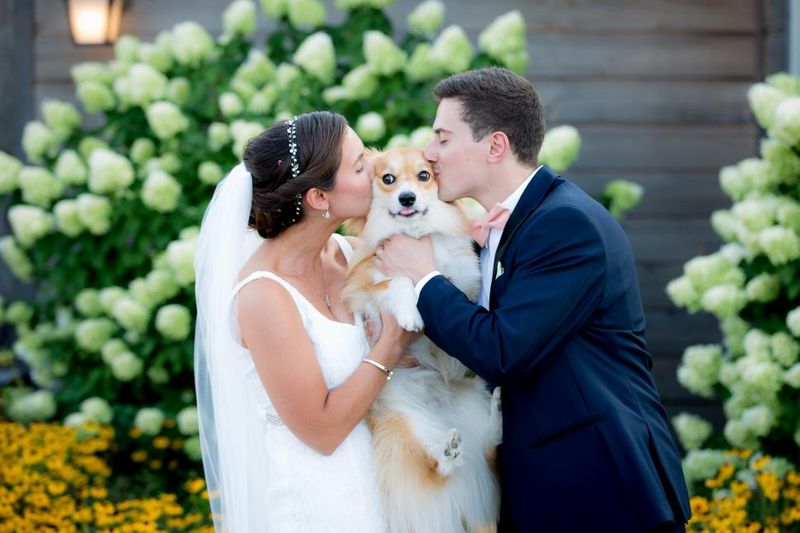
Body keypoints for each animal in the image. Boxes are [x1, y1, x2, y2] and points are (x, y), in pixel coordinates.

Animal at [342, 148, 500, 532]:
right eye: (388, 179)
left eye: (424, 176)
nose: (407, 198)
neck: (414, 236)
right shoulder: (364, 284)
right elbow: (398, 282)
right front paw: (411, 312)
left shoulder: (462, 282)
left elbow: (446, 285)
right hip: (402, 427)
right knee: (435, 467)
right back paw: (446, 455)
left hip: (471, 404)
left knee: (486, 449)